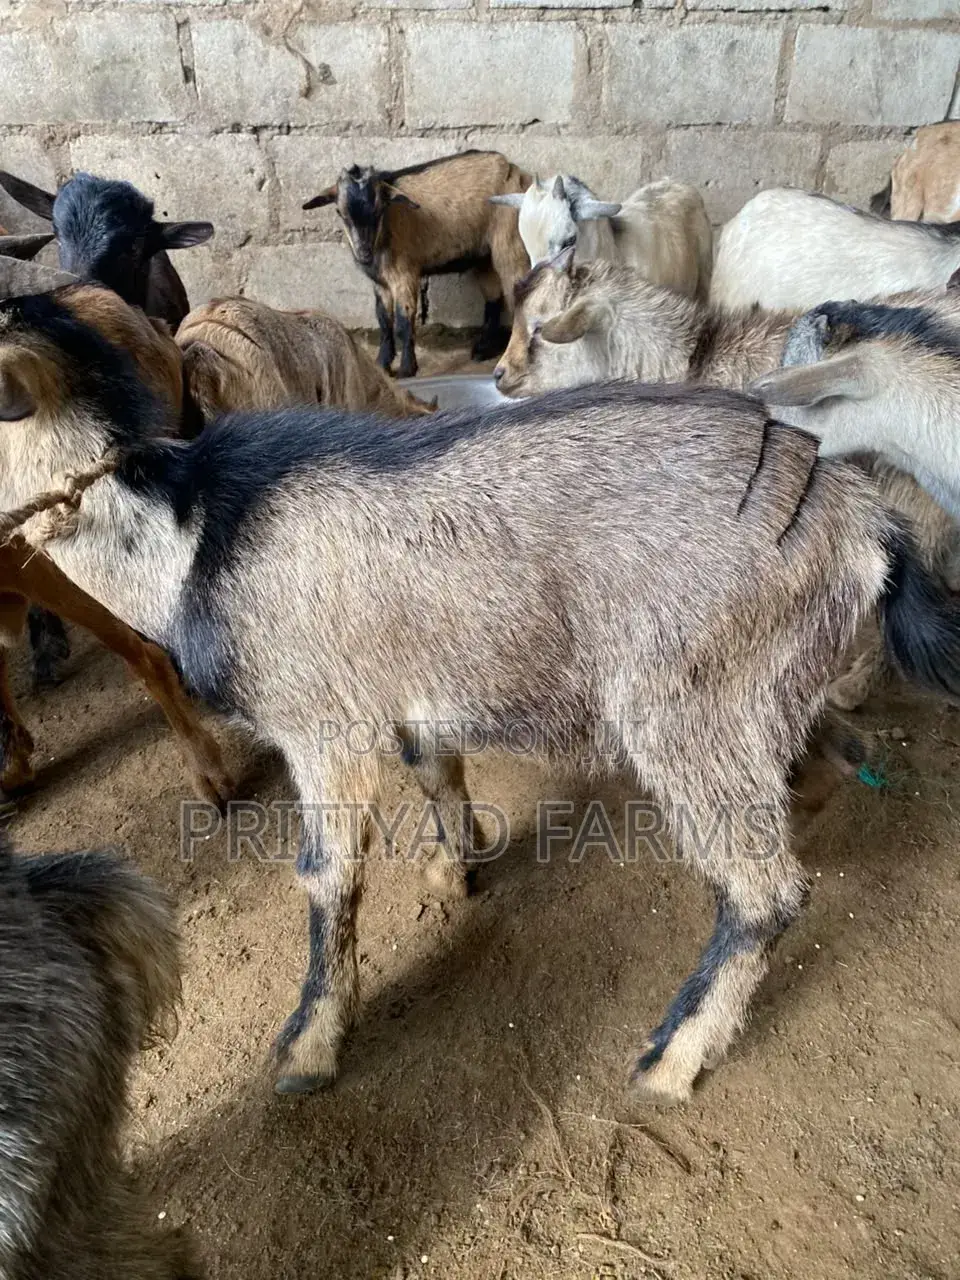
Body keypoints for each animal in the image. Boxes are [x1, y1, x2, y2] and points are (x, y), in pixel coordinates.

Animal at [302, 150, 531, 378]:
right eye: (341, 213)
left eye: (378, 210)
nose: (364, 254)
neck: (385, 230)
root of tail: (517, 173)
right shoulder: (381, 283)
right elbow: (384, 321)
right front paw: (382, 364)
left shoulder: (404, 274)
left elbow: (403, 322)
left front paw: (406, 369)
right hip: (483, 255)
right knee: (494, 297)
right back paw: (484, 348)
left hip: (509, 243)